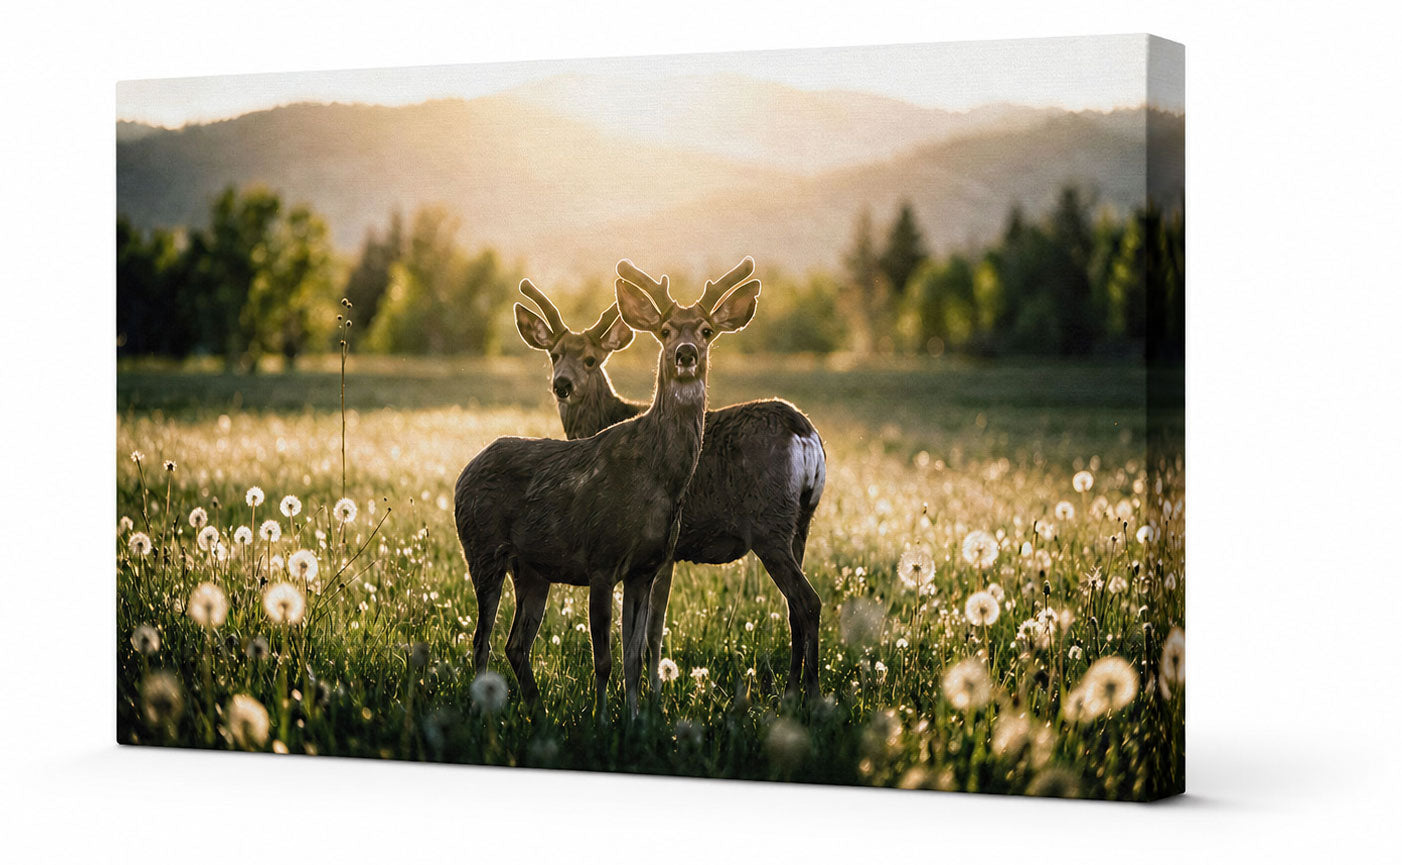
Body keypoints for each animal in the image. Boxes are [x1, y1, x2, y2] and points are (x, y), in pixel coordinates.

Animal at [454, 259, 763, 718]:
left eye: (707, 330)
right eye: (665, 330)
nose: (685, 354)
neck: (660, 477)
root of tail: (463, 473)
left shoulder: (645, 569)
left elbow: (634, 655)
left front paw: (635, 718)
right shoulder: (600, 560)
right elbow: (603, 659)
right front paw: (601, 719)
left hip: (532, 569)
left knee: (515, 644)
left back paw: (539, 711)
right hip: (482, 549)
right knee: (481, 641)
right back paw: (484, 713)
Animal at [514, 258, 826, 698]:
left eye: (591, 359)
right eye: (554, 354)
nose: (562, 384)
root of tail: (805, 433)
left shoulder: (665, 548)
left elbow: (650, 634)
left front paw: (651, 694)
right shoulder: (668, 552)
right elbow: (654, 630)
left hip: (769, 525)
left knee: (807, 602)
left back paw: (805, 695)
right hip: (801, 524)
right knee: (794, 607)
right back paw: (793, 690)